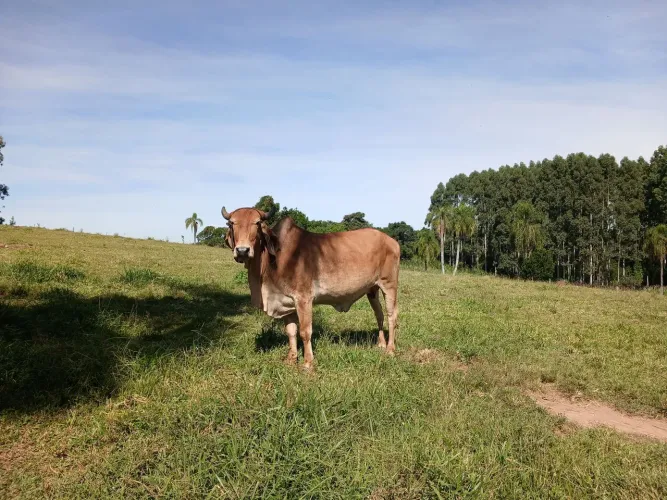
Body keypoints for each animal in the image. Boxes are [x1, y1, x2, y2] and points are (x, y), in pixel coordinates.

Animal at [221, 205, 400, 370]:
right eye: (231, 223)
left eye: (257, 223)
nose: (242, 250)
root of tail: (392, 241)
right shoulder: (286, 301)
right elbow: (291, 331)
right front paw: (291, 359)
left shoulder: (303, 298)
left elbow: (305, 331)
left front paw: (308, 363)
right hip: (372, 290)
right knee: (379, 314)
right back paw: (381, 344)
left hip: (389, 285)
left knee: (391, 316)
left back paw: (390, 349)